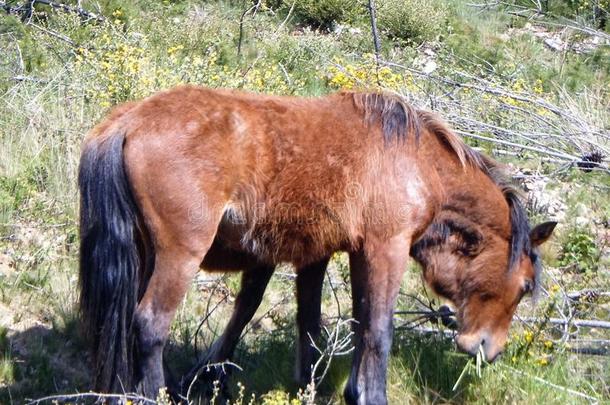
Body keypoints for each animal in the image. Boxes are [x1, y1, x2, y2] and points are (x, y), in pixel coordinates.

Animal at [79, 83, 556, 402]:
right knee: (149, 325)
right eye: (524, 287)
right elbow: (378, 331)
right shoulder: (385, 249)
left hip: (144, 254)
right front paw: (369, 396)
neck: (416, 160)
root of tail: (129, 121)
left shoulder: (332, 254)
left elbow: (326, 323)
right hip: (179, 256)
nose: (488, 350)